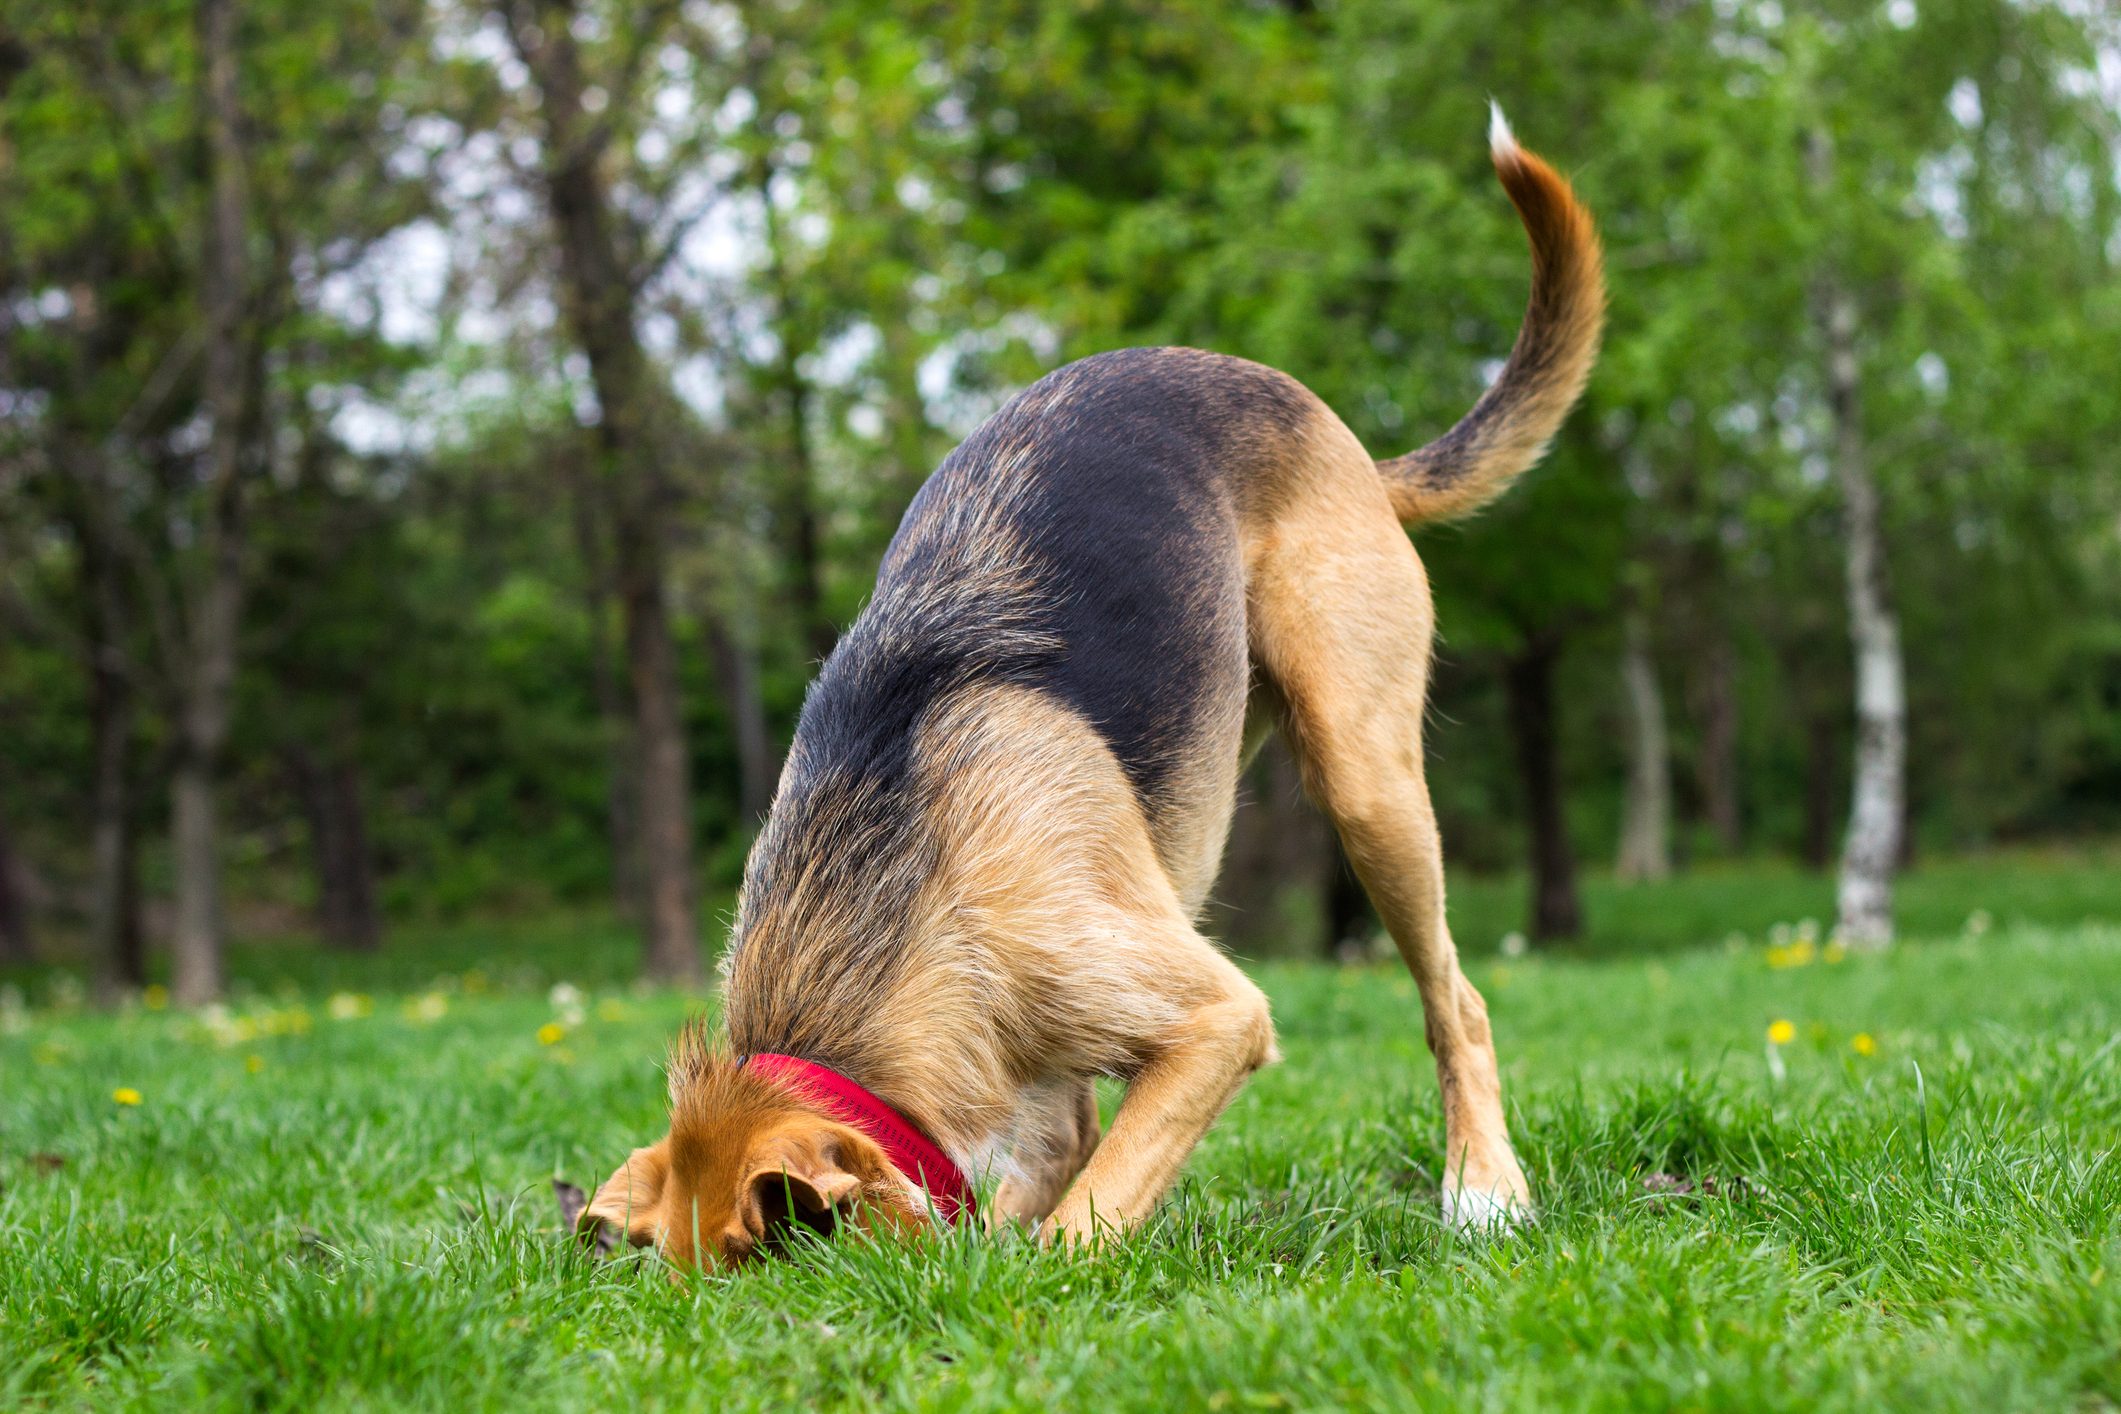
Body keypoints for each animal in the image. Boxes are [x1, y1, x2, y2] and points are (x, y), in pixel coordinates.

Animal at [572, 104, 1594, 1263]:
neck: (891, 891)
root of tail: (1348, 449)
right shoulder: (1047, 1087)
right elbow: (1063, 1162)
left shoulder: (1211, 1018)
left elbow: (1080, 1223)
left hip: (1366, 782)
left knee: (1455, 1000)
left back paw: (1484, 1187)